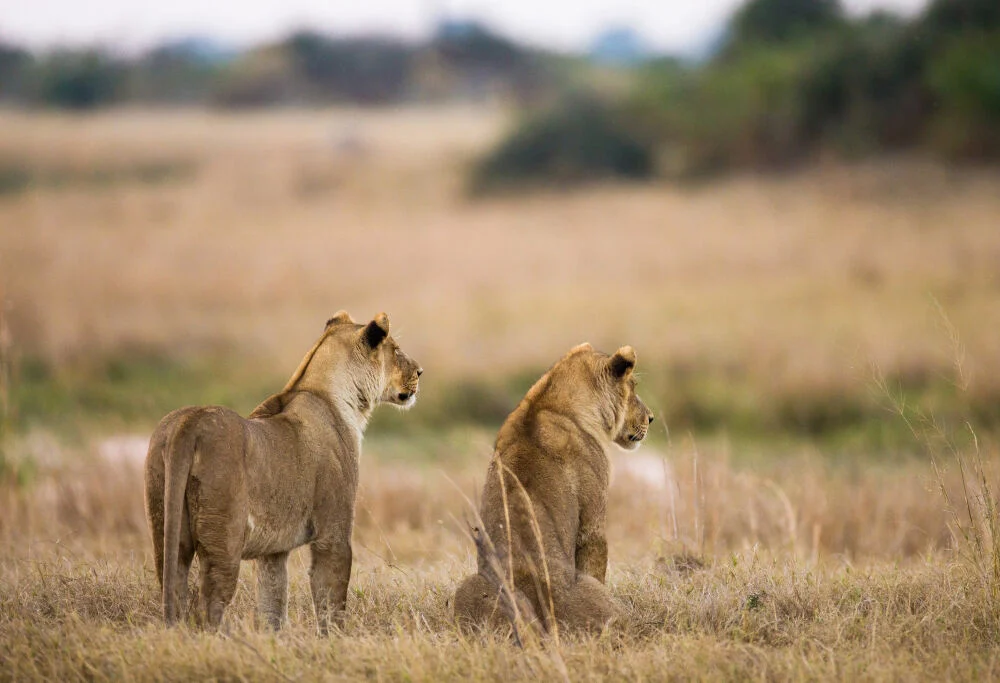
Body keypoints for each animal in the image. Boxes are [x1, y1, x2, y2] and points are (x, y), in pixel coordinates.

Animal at [144, 311, 421, 632]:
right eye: (396, 350)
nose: (420, 371)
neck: (329, 395)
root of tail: (190, 422)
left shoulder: (273, 551)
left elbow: (273, 601)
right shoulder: (333, 531)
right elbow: (331, 598)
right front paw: (336, 639)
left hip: (166, 525)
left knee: (173, 585)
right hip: (225, 539)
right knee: (209, 606)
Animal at [453, 343, 653, 635]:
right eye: (633, 387)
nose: (651, 418)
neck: (546, 402)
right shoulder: (592, 520)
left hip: (469, 587)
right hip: (603, 605)